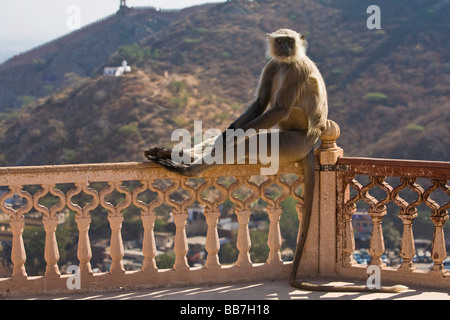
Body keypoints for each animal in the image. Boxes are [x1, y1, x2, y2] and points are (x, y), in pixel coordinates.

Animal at [145, 29, 408, 292]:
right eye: (280, 41)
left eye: (289, 41)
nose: (284, 47)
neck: (286, 62)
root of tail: (312, 142)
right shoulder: (273, 65)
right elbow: (259, 104)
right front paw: (222, 136)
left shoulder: (295, 70)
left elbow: (277, 109)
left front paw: (224, 142)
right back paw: (176, 154)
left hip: (291, 141)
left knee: (257, 135)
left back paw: (190, 169)